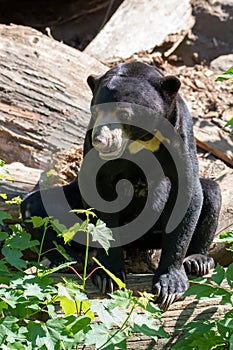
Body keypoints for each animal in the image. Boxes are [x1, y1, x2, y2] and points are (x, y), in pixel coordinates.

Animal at [20, 61, 221, 308]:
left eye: (125, 113)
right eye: (96, 111)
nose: (101, 141)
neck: (141, 141)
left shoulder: (180, 136)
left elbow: (187, 195)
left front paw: (170, 286)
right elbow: (101, 203)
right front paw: (109, 276)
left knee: (211, 194)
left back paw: (197, 261)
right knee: (35, 206)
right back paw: (72, 260)